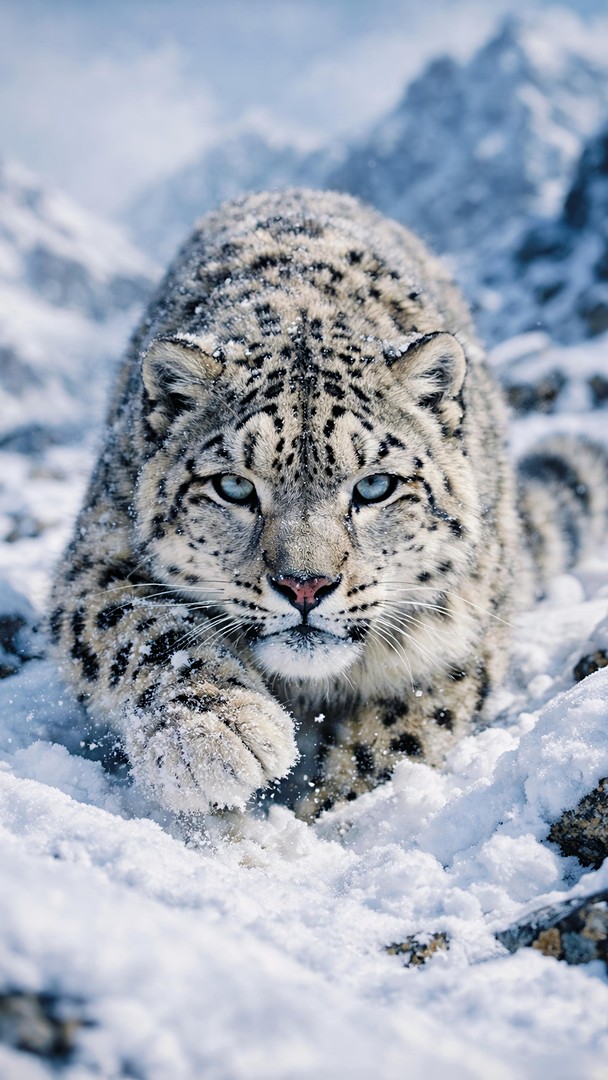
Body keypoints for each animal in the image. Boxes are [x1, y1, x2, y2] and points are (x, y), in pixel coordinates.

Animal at [48, 188, 608, 820]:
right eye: (234, 487)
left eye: (374, 486)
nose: (305, 586)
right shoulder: (100, 548)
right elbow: (139, 627)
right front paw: (221, 734)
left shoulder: (460, 626)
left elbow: (401, 733)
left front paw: (334, 813)